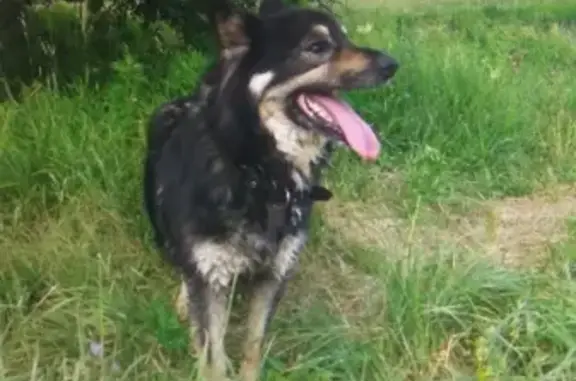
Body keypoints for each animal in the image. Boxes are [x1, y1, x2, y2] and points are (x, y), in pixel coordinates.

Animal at [142, 1, 398, 378]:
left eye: (346, 38)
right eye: (317, 46)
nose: (392, 65)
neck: (260, 173)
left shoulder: (274, 275)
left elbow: (253, 343)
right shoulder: (212, 278)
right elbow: (212, 353)